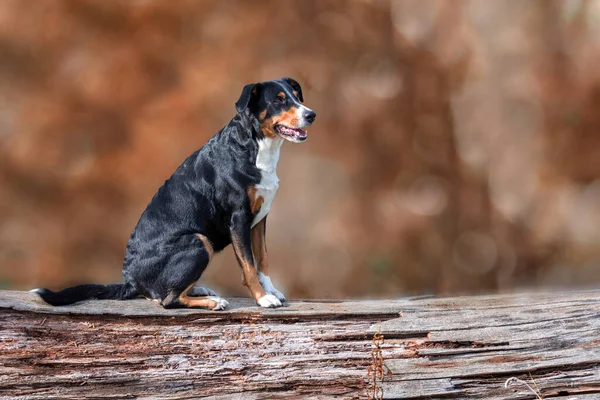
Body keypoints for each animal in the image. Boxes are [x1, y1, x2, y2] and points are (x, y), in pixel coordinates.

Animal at [32, 77, 316, 310]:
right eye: (278, 100)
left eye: (296, 96)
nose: (311, 114)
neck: (255, 149)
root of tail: (131, 281)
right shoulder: (239, 219)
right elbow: (248, 265)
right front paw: (262, 298)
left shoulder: (259, 219)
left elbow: (262, 260)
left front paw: (272, 291)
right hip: (199, 241)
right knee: (167, 300)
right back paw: (212, 302)